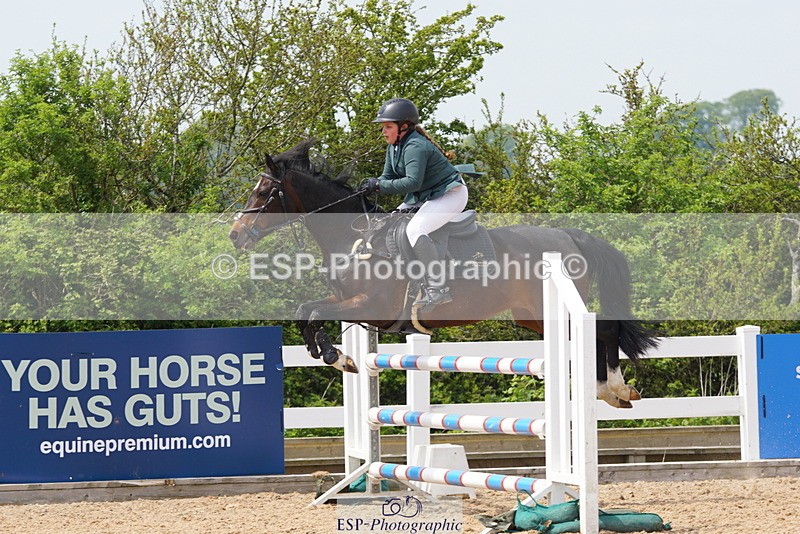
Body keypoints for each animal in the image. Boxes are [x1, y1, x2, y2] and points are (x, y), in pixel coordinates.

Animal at [228, 140, 658, 408]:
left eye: (263, 193)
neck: (353, 237)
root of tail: (569, 235)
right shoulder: (345, 300)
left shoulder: (370, 305)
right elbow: (306, 311)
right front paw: (335, 357)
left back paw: (615, 388)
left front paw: (337, 357)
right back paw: (610, 391)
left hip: (551, 305)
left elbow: (314, 313)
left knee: (603, 329)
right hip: (531, 316)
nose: (235, 234)